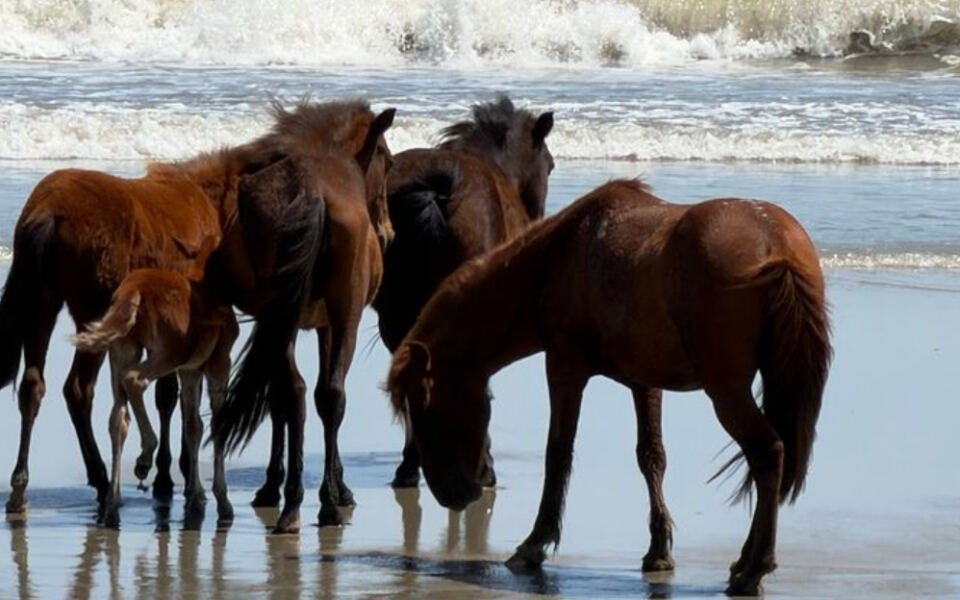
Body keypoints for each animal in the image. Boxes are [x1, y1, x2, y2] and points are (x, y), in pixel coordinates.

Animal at [70, 269, 239, 527]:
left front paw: (196, 497)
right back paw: (144, 457)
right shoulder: (219, 363)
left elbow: (194, 426)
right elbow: (217, 423)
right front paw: (222, 502)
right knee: (134, 380)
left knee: (118, 417)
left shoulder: (190, 370)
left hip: (122, 349)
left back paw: (111, 506)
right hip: (169, 352)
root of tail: (134, 289)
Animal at [210, 100, 396, 533]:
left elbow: (283, 398)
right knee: (328, 394)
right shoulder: (328, 324)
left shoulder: (282, 320)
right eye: (387, 160)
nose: (388, 232)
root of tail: (311, 192)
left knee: (292, 391)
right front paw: (338, 488)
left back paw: (292, 503)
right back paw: (325, 503)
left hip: (283, 315)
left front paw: (272, 487)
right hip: (343, 315)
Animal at [387, 179, 831, 596]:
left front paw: (535, 544)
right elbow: (651, 457)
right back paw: (743, 564)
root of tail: (777, 244)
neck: (559, 258)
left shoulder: (564, 367)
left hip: (727, 391)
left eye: (425, 407)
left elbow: (558, 453)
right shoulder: (645, 382)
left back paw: (754, 568)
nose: (452, 495)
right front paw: (658, 552)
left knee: (768, 453)